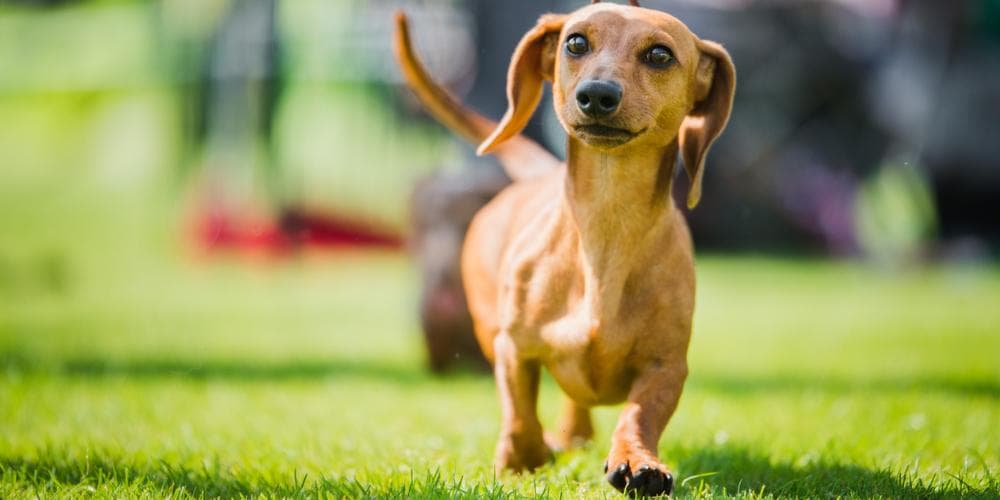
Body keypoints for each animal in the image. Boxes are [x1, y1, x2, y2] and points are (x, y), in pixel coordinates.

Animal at [392, 0, 736, 496]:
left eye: (659, 54)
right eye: (575, 42)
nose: (596, 95)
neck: (604, 232)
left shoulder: (666, 365)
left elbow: (640, 414)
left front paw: (638, 460)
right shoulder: (514, 349)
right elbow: (520, 416)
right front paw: (524, 459)